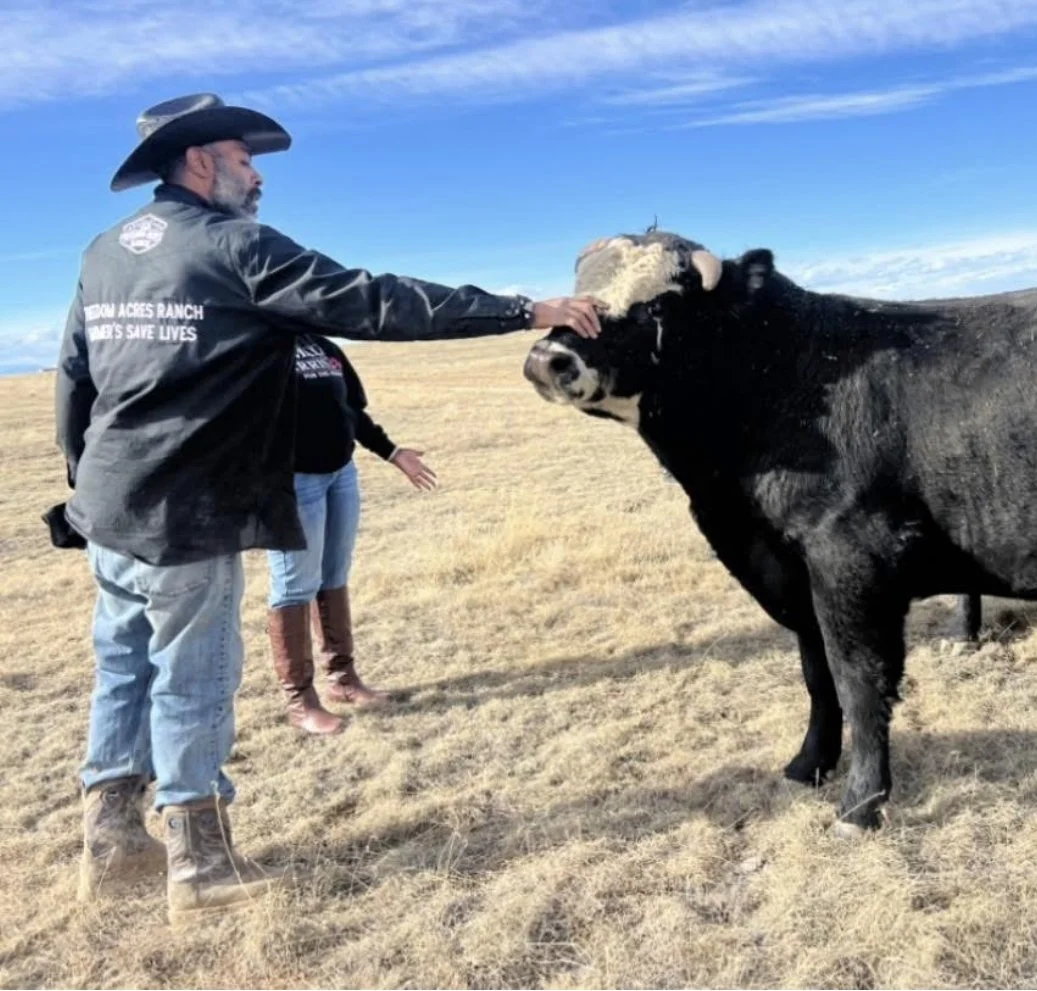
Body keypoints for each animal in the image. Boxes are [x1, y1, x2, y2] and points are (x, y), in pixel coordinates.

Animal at [522, 231, 1037, 833]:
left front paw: (860, 804)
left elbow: (860, 680)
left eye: (660, 306)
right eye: (577, 289)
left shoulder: (851, 560)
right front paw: (808, 764)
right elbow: (816, 675)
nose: (549, 359)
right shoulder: (790, 573)